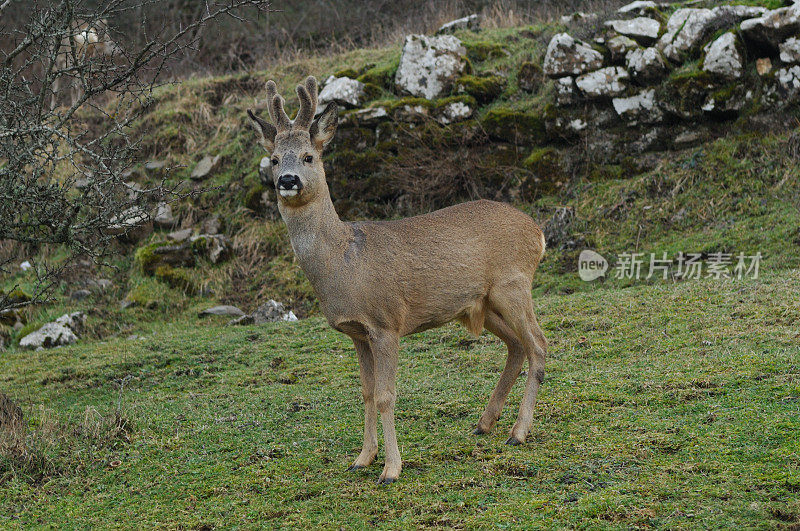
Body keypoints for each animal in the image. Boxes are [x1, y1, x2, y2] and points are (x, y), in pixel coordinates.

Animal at [250, 76, 548, 486]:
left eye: (309, 156)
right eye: (275, 159)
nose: (288, 180)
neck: (345, 263)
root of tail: (538, 231)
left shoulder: (386, 322)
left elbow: (386, 395)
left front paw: (391, 469)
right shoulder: (357, 332)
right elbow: (365, 392)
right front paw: (362, 458)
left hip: (514, 284)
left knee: (538, 344)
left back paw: (518, 432)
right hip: (480, 303)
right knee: (517, 345)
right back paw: (484, 423)